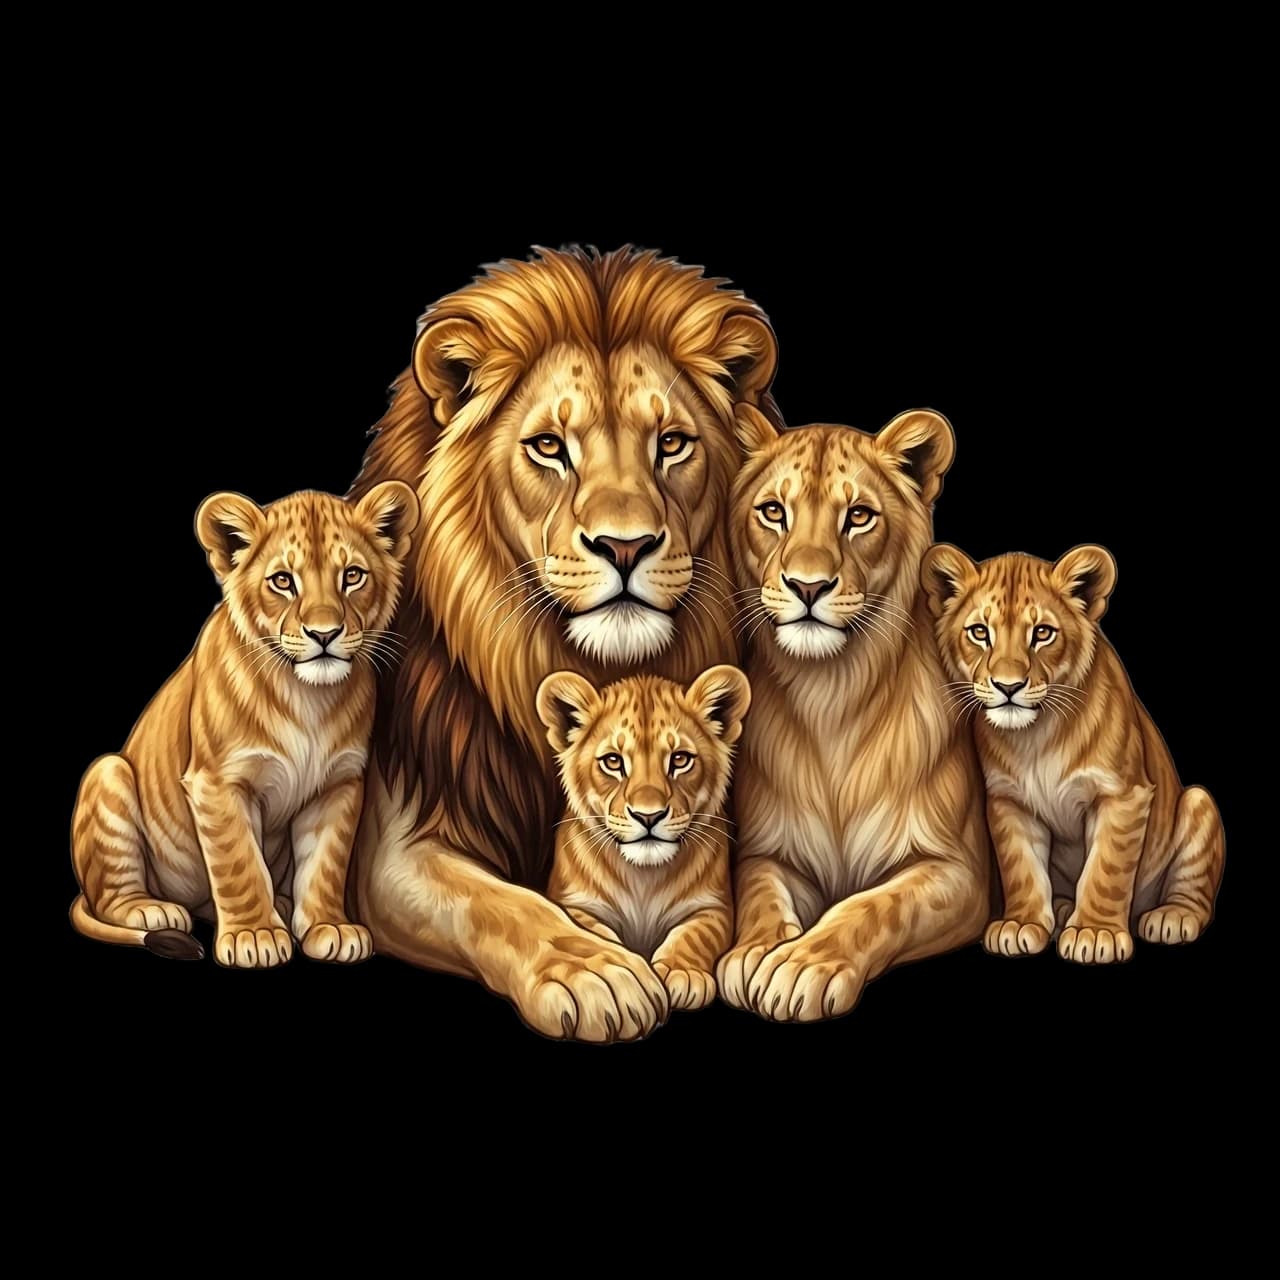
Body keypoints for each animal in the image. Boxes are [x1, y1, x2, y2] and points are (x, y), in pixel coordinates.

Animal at [347, 246, 780, 1041]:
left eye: (671, 443)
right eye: (549, 447)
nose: (625, 545)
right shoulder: (396, 848)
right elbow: (503, 905)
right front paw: (595, 975)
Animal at [716, 406, 991, 1021]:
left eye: (859, 516)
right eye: (774, 511)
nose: (808, 586)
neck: (832, 697)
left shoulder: (960, 872)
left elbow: (875, 907)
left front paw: (801, 966)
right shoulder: (769, 851)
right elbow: (759, 895)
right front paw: (755, 952)